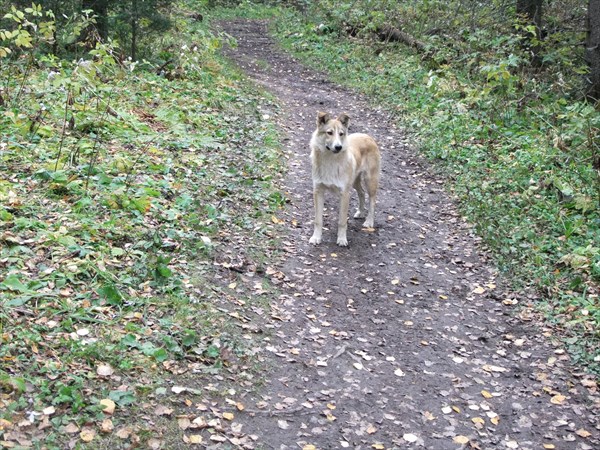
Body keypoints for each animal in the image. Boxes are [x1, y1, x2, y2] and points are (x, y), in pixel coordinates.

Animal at [309, 112, 381, 246]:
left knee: (372, 200)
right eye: (329, 132)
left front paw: (342, 239)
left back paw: (369, 221)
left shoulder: (345, 194)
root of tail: (368, 136)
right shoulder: (318, 191)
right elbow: (318, 220)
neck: (330, 160)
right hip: (355, 181)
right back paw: (360, 212)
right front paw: (316, 237)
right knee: (361, 193)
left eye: (341, 134)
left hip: (370, 180)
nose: (338, 147)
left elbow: (342, 221)